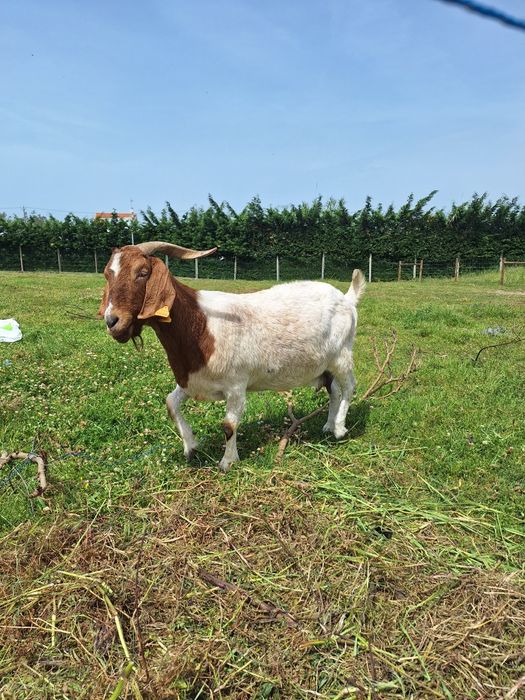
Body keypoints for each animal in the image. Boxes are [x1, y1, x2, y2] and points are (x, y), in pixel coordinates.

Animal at [98, 242, 365, 471]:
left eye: (142, 273)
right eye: (107, 274)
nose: (112, 321)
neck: (201, 326)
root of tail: (346, 298)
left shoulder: (236, 384)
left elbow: (229, 425)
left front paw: (228, 461)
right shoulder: (192, 379)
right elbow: (170, 403)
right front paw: (190, 446)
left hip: (342, 355)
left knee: (349, 387)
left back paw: (339, 428)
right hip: (326, 365)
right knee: (334, 391)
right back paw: (328, 425)